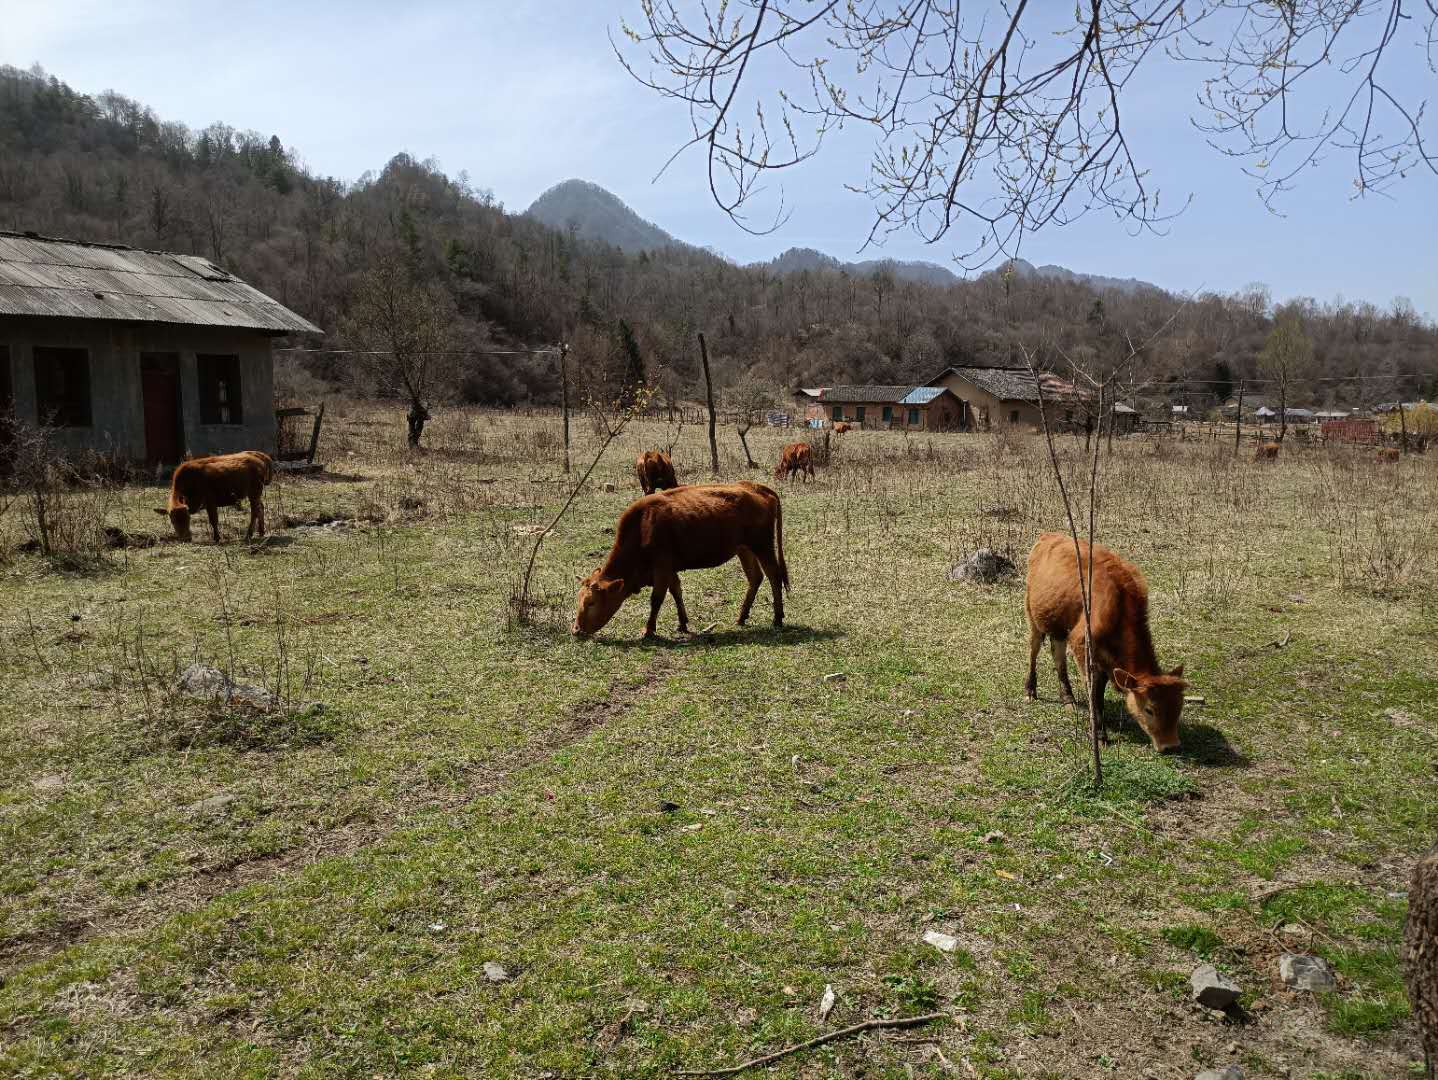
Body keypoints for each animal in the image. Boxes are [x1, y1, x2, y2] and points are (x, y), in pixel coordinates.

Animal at [572, 483, 793, 641]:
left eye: (591, 602)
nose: (576, 630)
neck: (643, 526)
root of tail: (756, 487)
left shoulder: (661, 567)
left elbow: (657, 598)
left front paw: (648, 629)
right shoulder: (669, 569)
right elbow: (676, 591)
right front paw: (682, 623)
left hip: (763, 546)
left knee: (774, 576)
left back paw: (777, 618)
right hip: (744, 549)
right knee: (755, 578)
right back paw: (741, 617)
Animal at [1023, 532, 1190, 753]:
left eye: (1179, 706)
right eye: (1149, 710)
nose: (1171, 745)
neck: (1120, 605)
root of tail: (1048, 536)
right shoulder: (1082, 646)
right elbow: (1094, 692)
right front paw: (1099, 734)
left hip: (1058, 626)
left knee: (1058, 656)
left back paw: (1068, 699)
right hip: (1033, 617)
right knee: (1033, 651)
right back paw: (1030, 690)